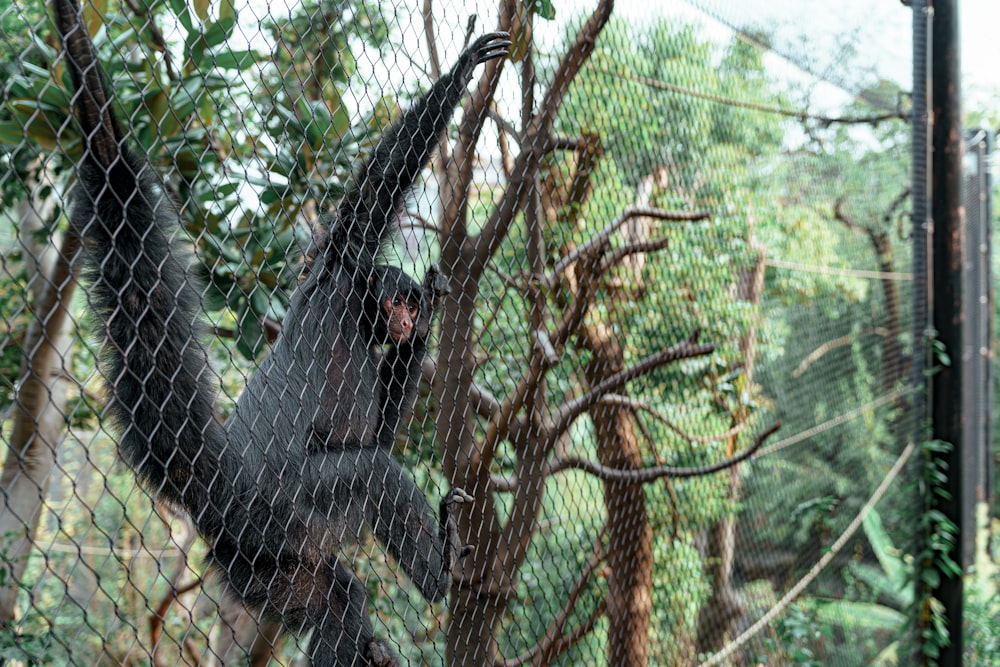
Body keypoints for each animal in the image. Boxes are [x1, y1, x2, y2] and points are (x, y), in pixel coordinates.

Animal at [49, 1, 508, 664]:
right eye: (396, 299)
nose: (406, 317)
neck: (355, 308)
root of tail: (227, 486)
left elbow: (380, 426)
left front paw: (425, 327)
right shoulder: (334, 267)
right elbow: (369, 198)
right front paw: (464, 66)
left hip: (262, 562)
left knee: (336, 596)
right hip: (284, 510)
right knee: (375, 474)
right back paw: (440, 573)